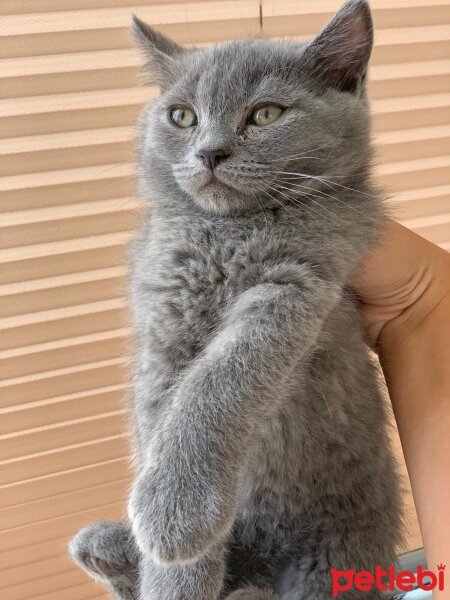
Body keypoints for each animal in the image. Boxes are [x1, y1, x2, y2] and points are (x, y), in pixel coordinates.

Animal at [69, 2, 404, 596]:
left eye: (266, 114)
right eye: (181, 117)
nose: (210, 152)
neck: (225, 232)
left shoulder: (303, 282)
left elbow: (223, 379)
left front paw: (174, 508)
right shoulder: (162, 318)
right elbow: (162, 417)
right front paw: (174, 571)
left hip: (334, 562)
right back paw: (112, 548)